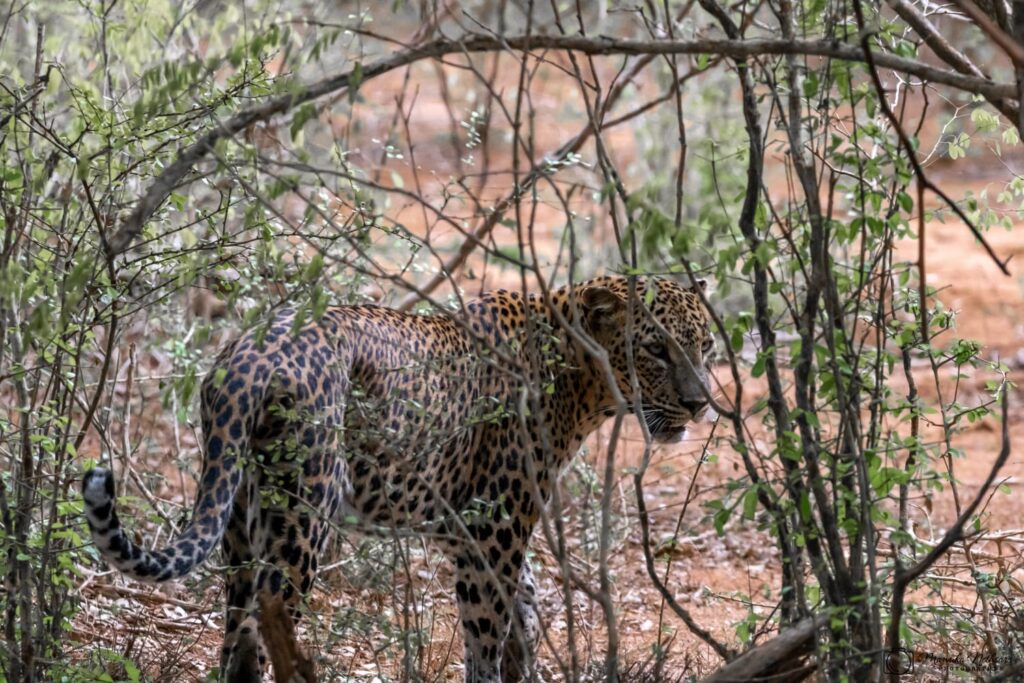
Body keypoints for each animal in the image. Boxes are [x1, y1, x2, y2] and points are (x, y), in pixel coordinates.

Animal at [82, 275, 715, 683]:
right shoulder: (494, 528)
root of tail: (245, 358)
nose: (701, 403)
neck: (582, 383)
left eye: (706, 346)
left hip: (237, 520)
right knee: (265, 635)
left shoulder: (471, 528)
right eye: (656, 349)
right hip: (303, 518)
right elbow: (486, 634)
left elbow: (526, 609)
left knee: (236, 640)